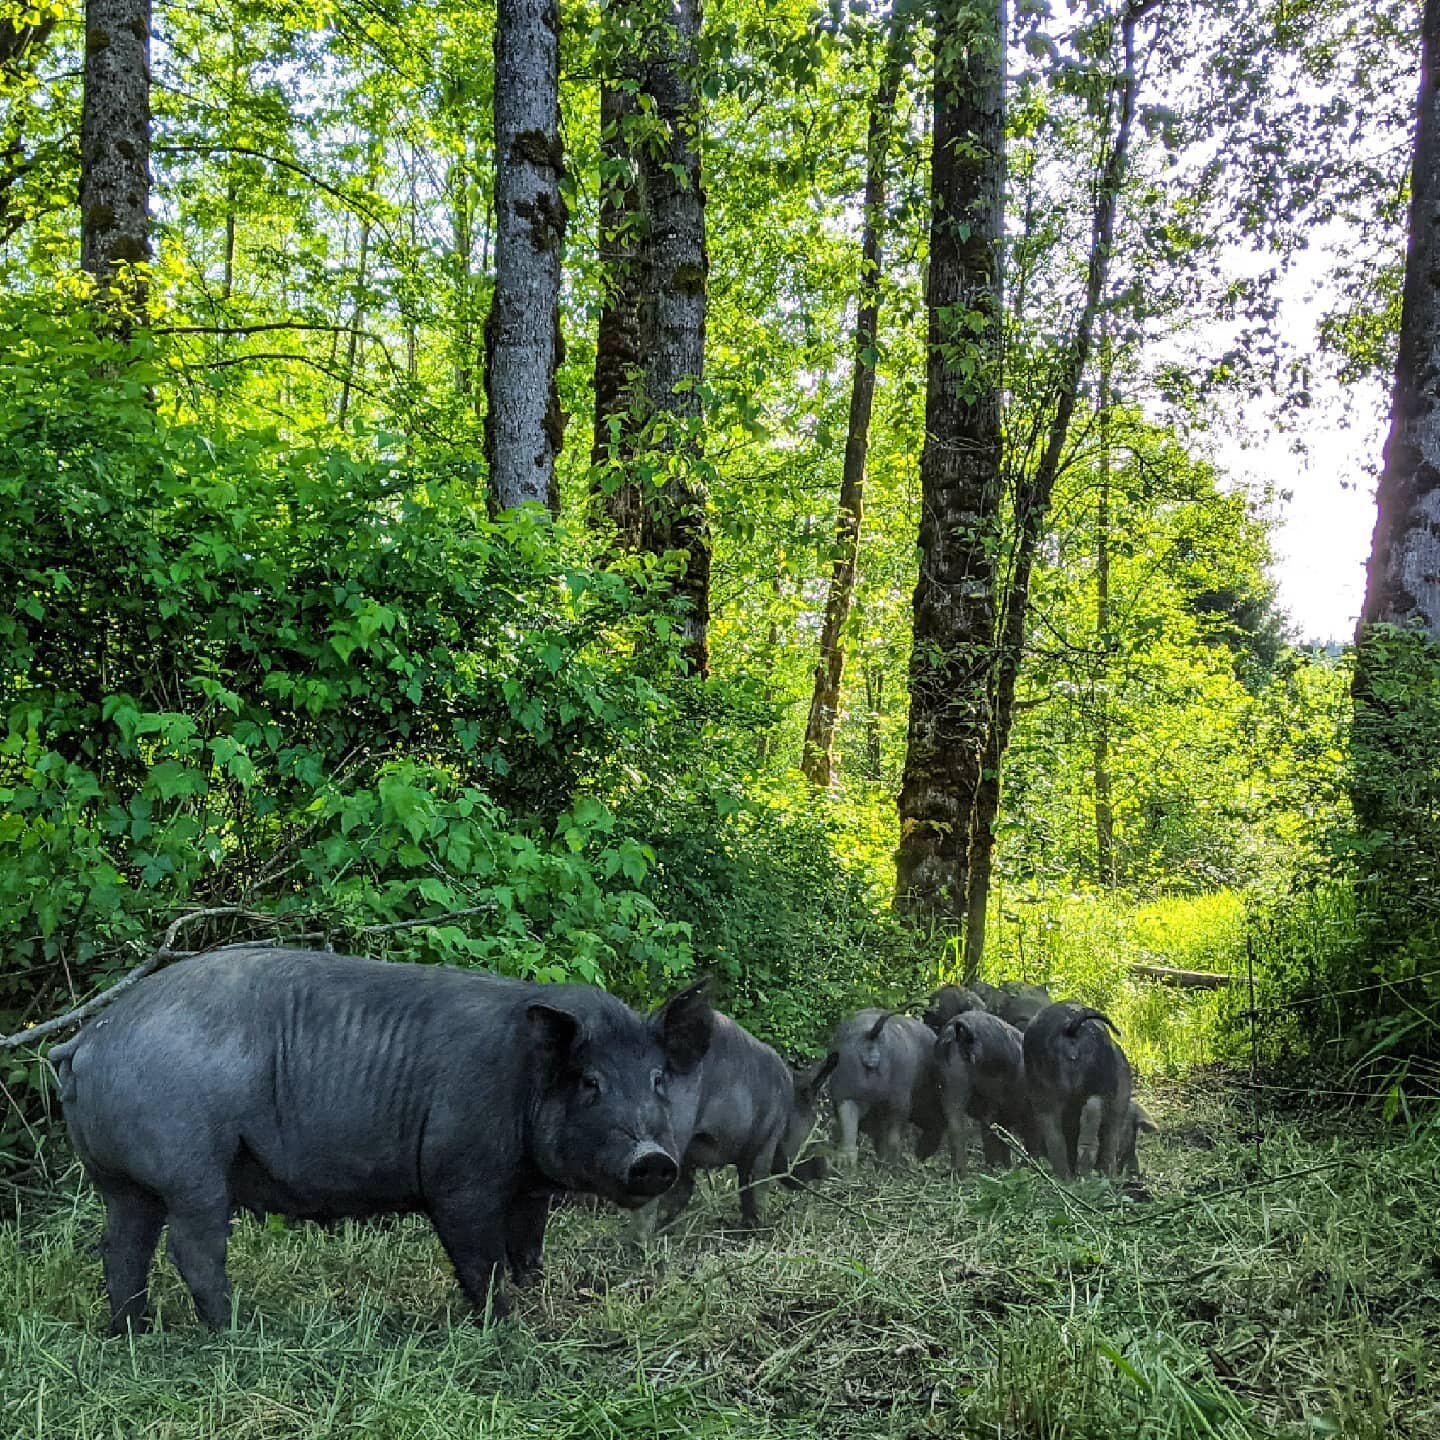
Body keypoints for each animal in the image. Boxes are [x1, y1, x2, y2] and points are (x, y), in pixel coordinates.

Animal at [50, 944, 714, 1324]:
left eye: (657, 1079)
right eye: (590, 1083)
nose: (653, 1159)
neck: (524, 1081)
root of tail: (87, 1040)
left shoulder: (527, 1187)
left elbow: (528, 1244)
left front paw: (534, 1294)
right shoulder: (459, 1177)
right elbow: (481, 1256)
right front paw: (504, 1324)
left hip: (120, 1179)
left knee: (121, 1247)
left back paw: (133, 1330)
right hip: (191, 1163)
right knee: (192, 1248)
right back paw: (238, 1328)